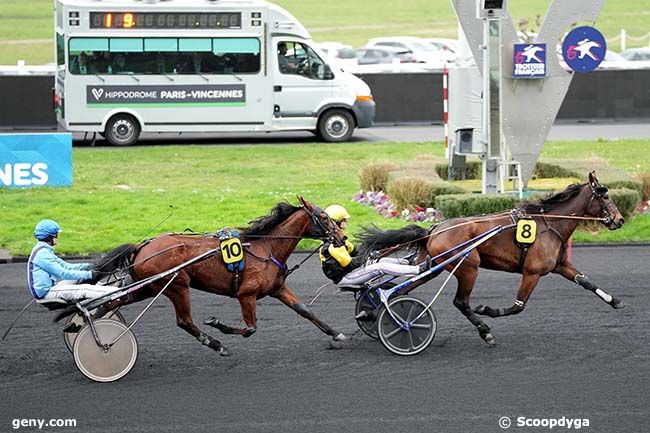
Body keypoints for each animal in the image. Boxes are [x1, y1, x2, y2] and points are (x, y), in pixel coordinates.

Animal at [63, 197, 350, 356]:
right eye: (324, 217)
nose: (343, 237)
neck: (264, 248)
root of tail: (143, 245)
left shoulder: (276, 288)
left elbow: (305, 310)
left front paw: (336, 333)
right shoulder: (246, 294)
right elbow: (250, 328)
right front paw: (217, 324)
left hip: (148, 286)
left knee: (113, 301)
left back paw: (81, 326)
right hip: (177, 285)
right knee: (184, 321)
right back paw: (216, 344)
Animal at [356, 171, 624, 344]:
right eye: (605, 196)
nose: (620, 220)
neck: (550, 224)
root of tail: (434, 229)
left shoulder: (560, 265)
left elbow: (586, 281)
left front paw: (615, 301)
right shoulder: (532, 272)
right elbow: (518, 306)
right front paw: (487, 310)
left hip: (432, 265)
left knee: (399, 290)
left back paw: (373, 313)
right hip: (468, 266)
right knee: (461, 302)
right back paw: (484, 331)